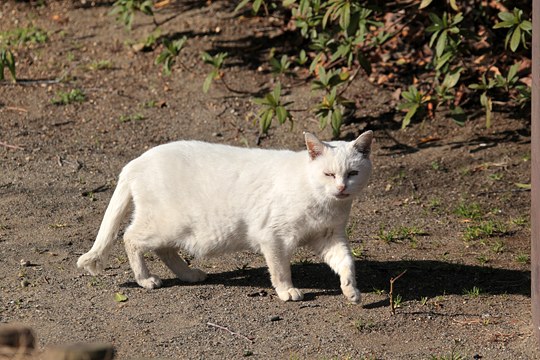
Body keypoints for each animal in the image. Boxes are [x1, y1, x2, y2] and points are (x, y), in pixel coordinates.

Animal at [77, 131, 372, 302]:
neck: (324, 200)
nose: (342, 188)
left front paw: (351, 290)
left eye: (352, 173)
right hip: (164, 224)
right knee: (130, 239)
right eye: (329, 174)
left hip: (175, 229)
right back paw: (145, 279)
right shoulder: (274, 238)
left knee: (164, 250)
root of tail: (136, 162)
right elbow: (280, 270)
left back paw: (188, 274)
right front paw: (286, 291)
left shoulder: (330, 237)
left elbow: (346, 262)